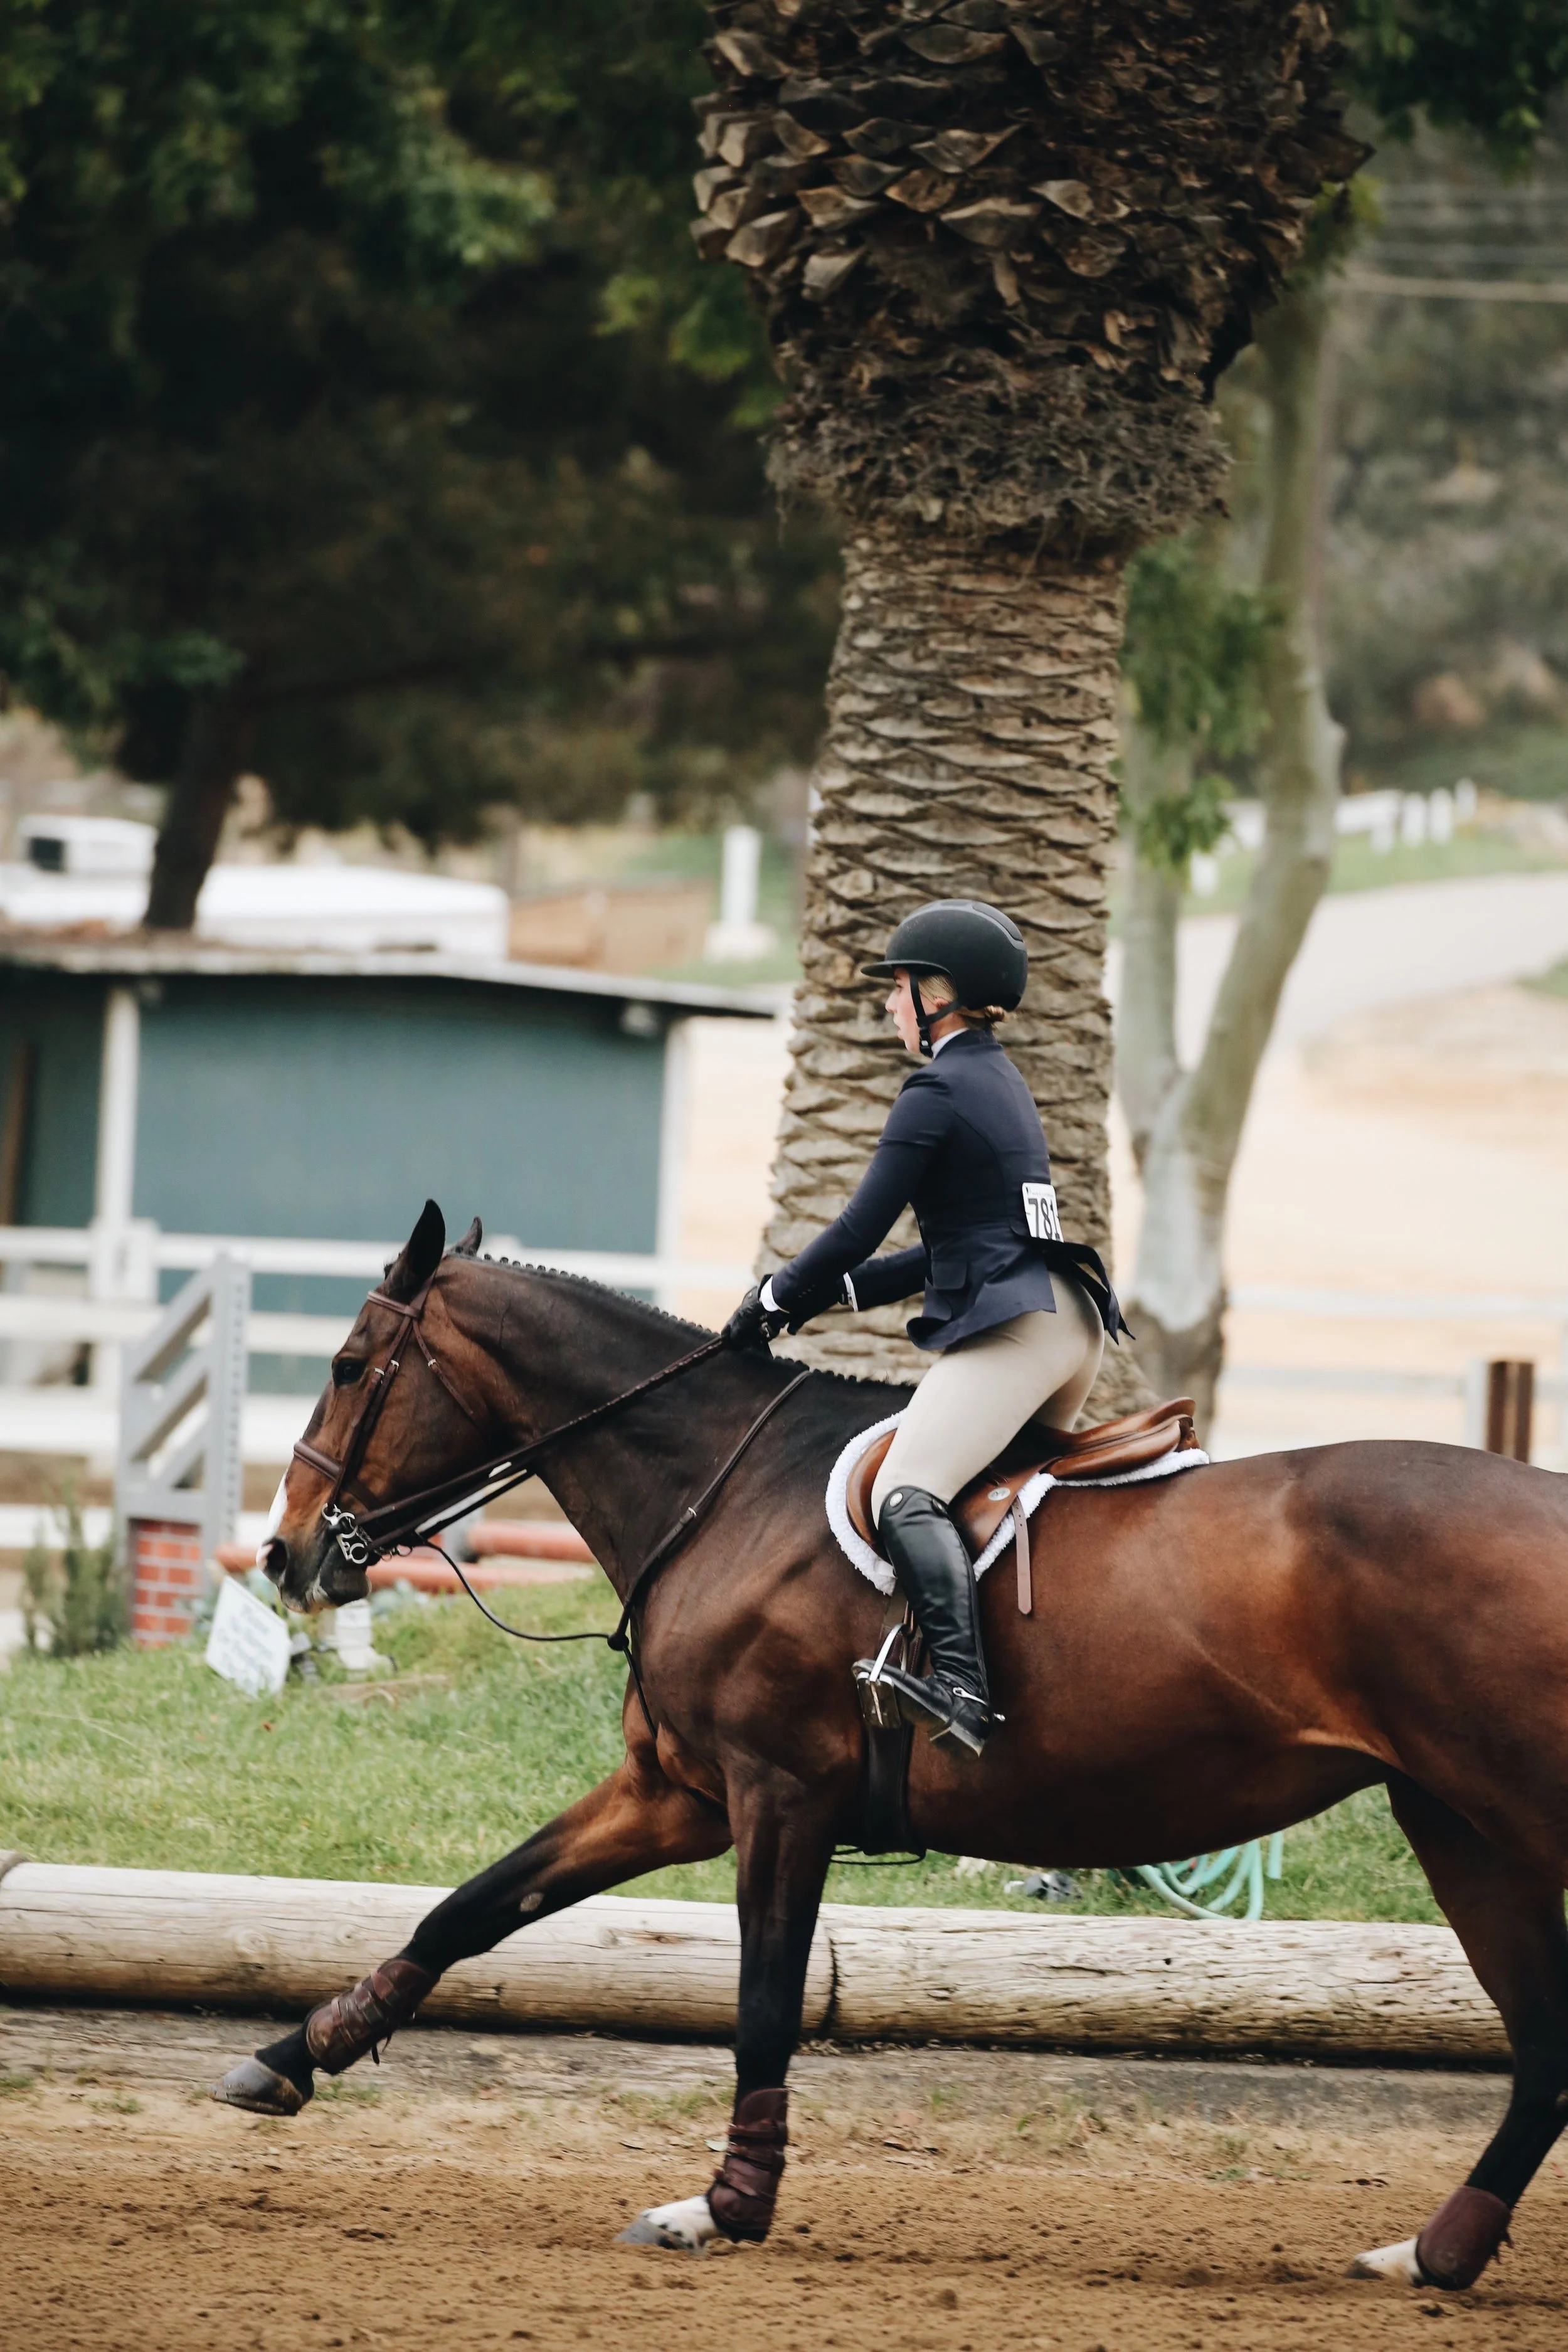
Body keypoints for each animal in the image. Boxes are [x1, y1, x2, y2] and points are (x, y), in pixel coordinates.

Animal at [216, 1199, 1568, 2291]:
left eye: (347, 1364)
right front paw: (294, 2056)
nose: (286, 1553)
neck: (722, 1488)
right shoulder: (674, 1792)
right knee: (1544, 2050)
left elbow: (764, 2002)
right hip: (1455, 1822)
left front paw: (723, 2208)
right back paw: (1434, 2254)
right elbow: (473, 1908)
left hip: (1508, 1812)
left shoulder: (778, 1798)